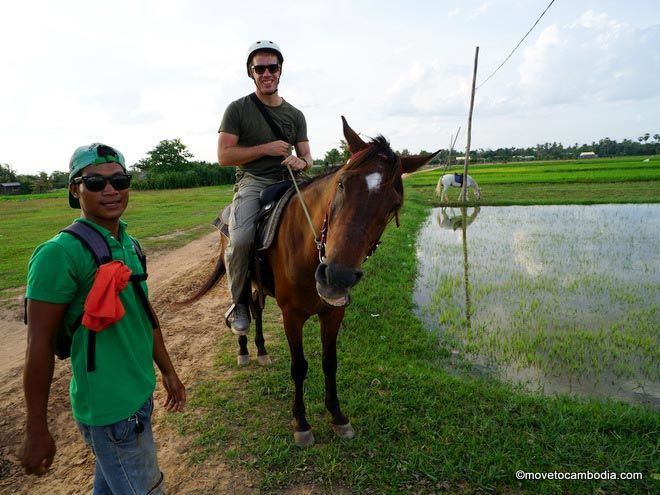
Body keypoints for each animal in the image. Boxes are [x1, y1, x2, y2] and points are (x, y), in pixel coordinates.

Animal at [186, 118, 438, 448]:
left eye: (393, 205)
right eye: (342, 183)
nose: (337, 277)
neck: (308, 250)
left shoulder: (334, 312)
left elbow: (330, 362)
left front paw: (338, 416)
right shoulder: (291, 316)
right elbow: (299, 366)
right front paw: (302, 423)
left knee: (256, 307)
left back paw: (261, 350)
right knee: (240, 303)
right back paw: (243, 349)